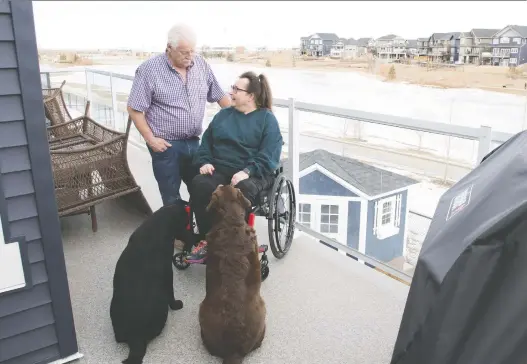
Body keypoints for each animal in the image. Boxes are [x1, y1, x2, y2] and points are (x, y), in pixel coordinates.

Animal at [110, 200, 191, 362]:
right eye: (186, 223)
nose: (193, 236)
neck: (161, 221)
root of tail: (136, 338)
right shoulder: (168, 272)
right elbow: (171, 293)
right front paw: (176, 305)